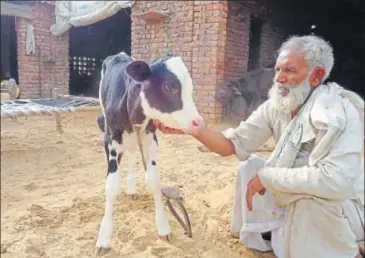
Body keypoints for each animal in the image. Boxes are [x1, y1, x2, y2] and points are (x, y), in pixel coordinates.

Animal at [94, 51, 202, 255]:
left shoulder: (150, 138)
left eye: (191, 87)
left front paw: (163, 228)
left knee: (132, 154)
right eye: (170, 86)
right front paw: (103, 238)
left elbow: (153, 181)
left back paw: (131, 188)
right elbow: (111, 186)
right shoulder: (111, 140)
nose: (199, 122)